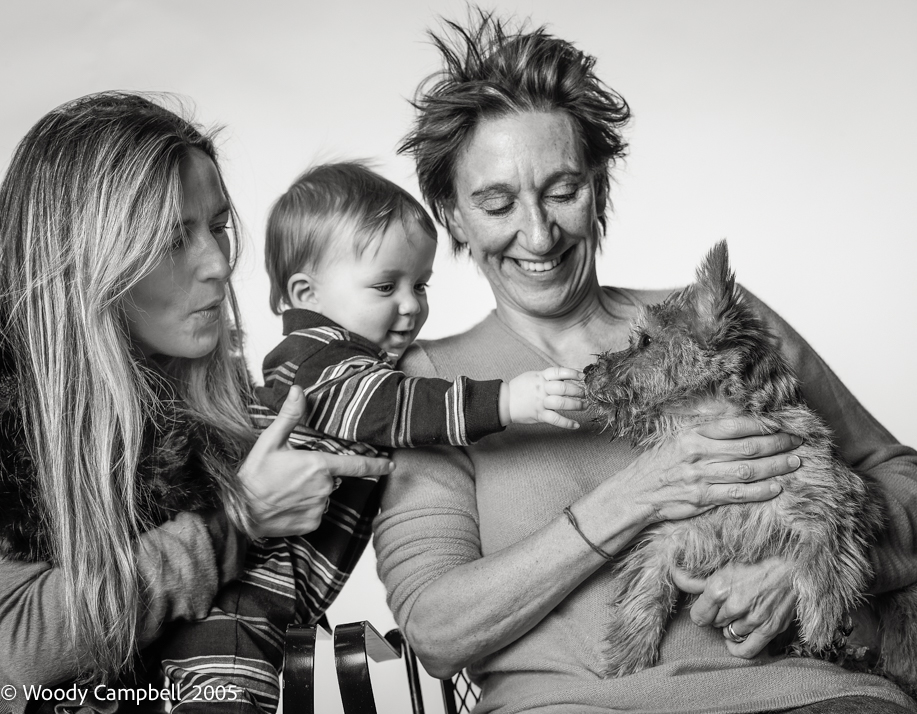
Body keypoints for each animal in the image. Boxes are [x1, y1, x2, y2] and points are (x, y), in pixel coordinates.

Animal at [582, 241, 917, 691]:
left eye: (646, 340)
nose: (587, 370)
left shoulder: (842, 501)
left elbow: (821, 549)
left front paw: (822, 616)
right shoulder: (669, 537)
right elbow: (645, 589)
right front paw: (627, 658)